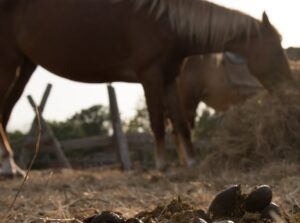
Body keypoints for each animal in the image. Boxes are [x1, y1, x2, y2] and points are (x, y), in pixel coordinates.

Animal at [0, 0, 292, 176]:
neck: (167, 21)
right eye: (277, 49)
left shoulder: (170, 78)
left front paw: (191, 162)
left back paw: (11, 165)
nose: (290, 86)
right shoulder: (150, 76)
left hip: (25, 66)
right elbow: (158, 122)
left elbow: (181, 123)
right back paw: (9, 167)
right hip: (10, 64)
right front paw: (162, 165)